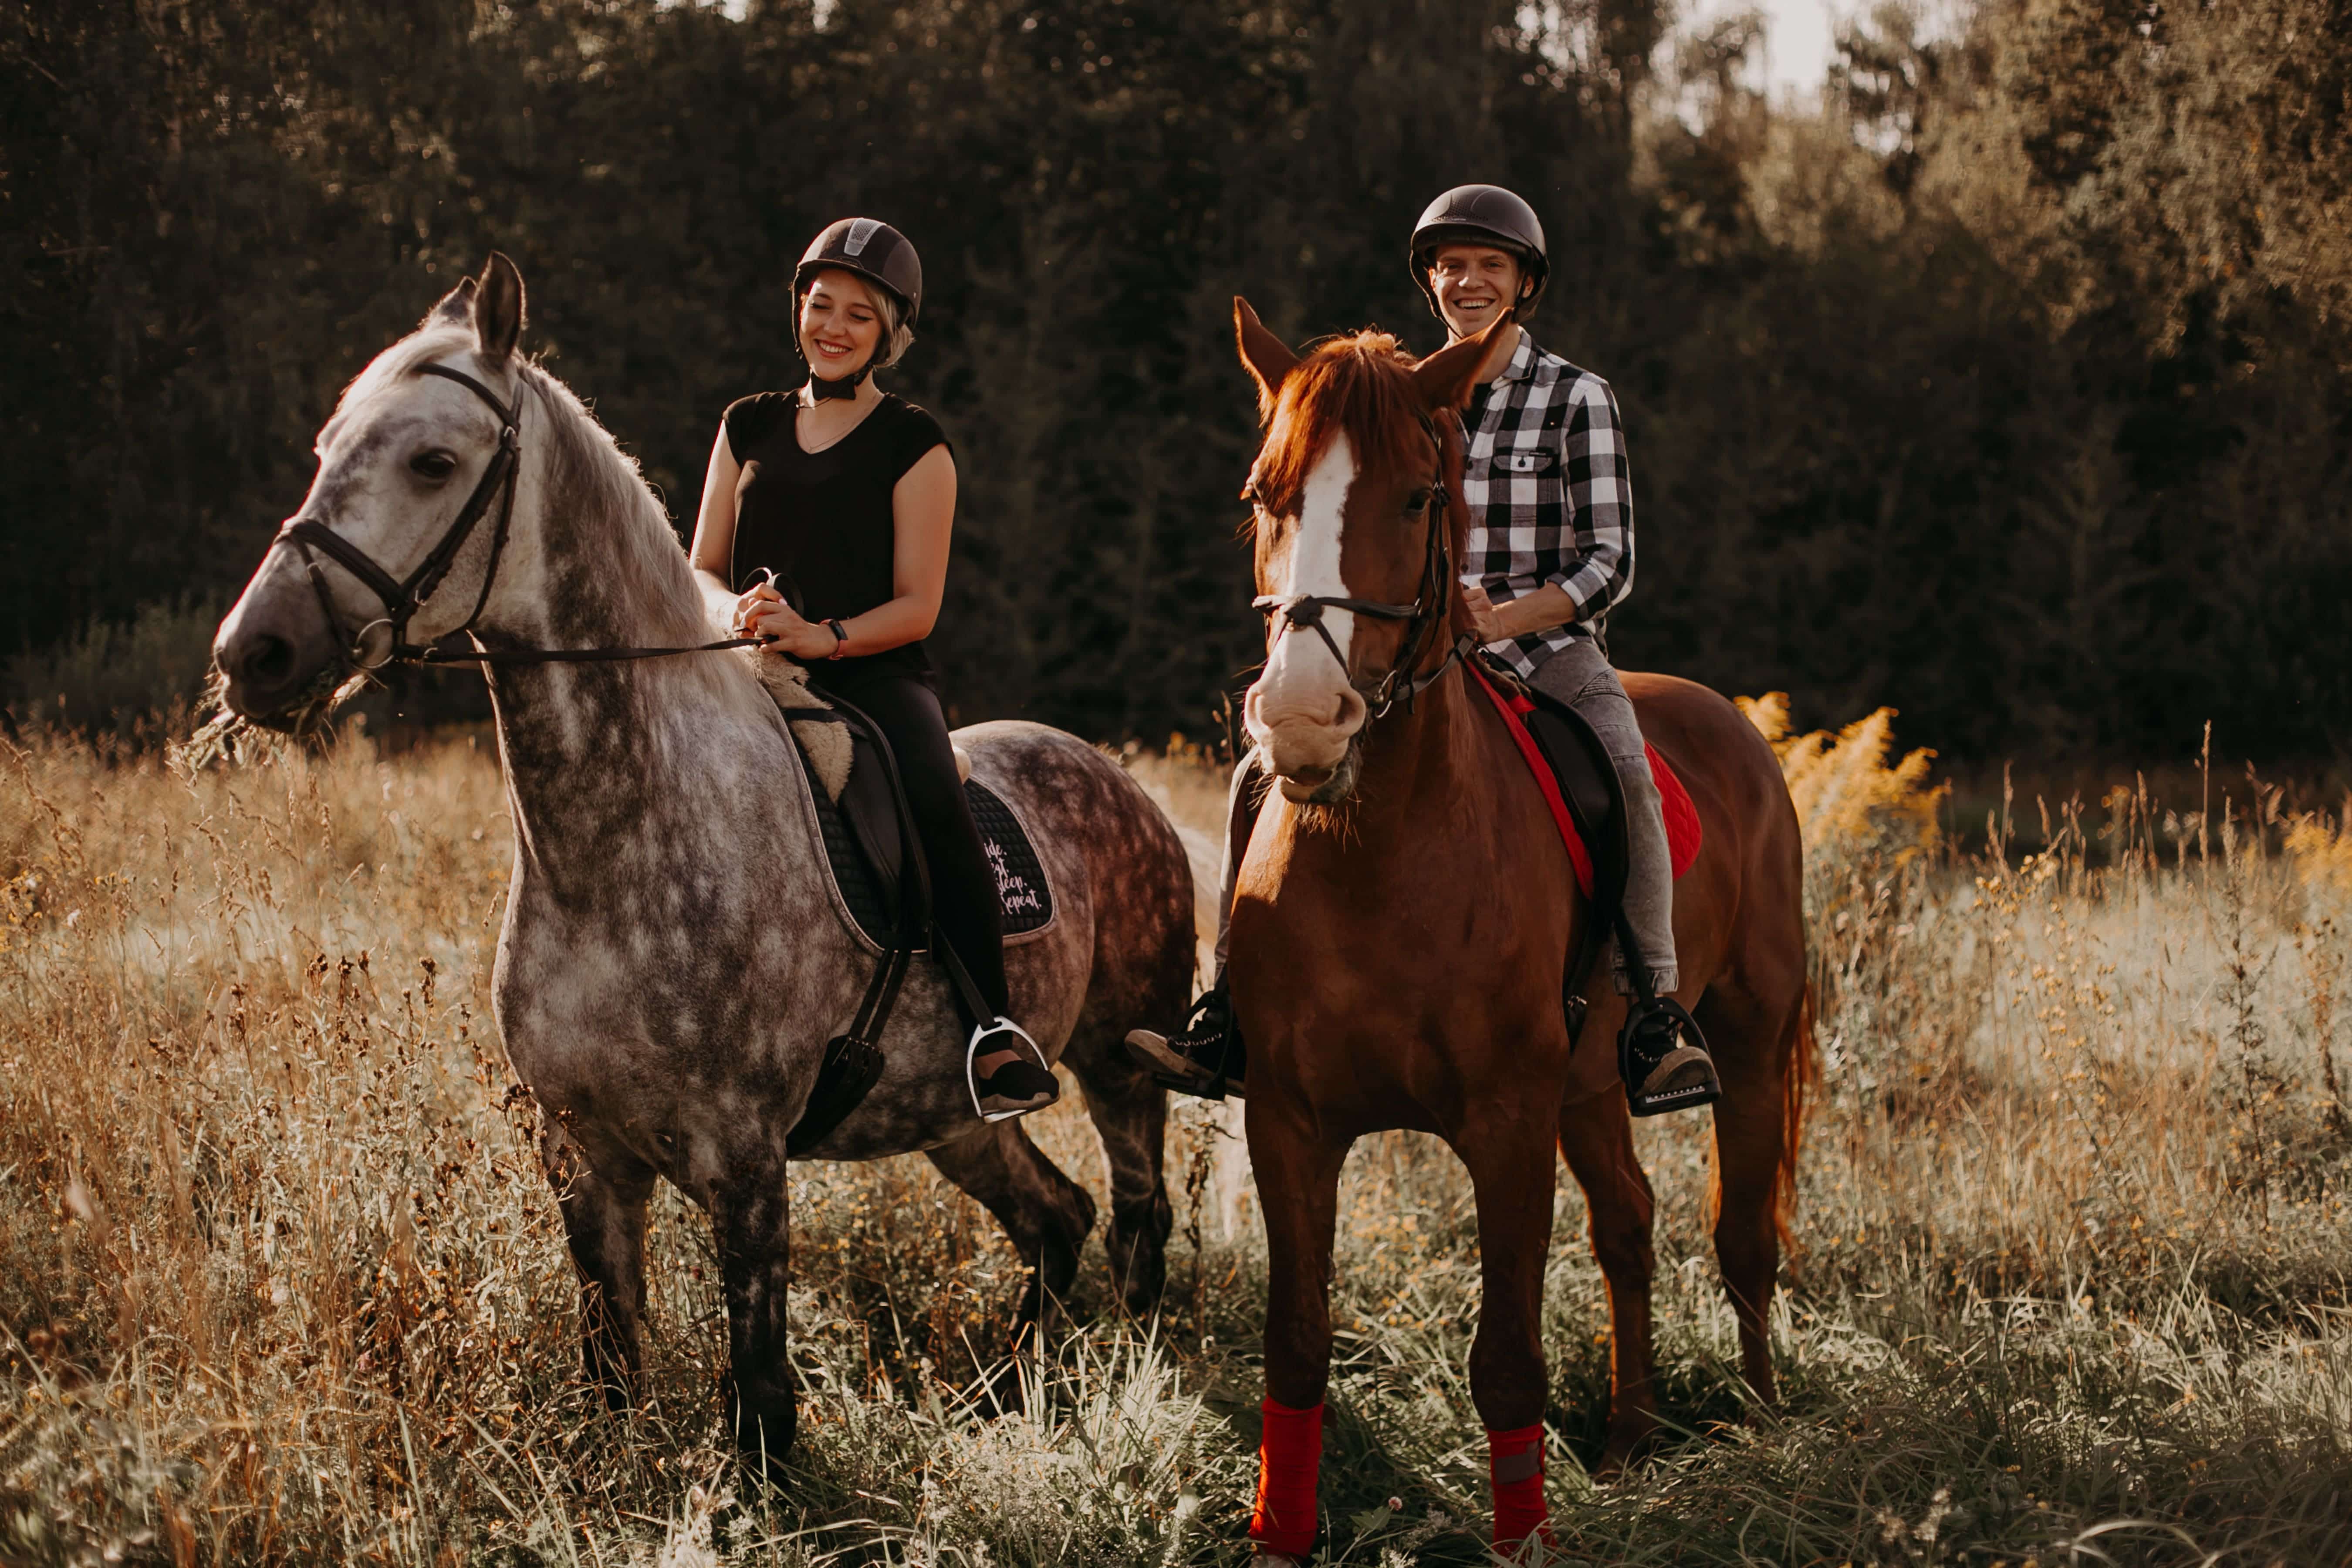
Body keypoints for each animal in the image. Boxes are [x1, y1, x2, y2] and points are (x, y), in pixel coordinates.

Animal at [212, 255, 1195, 1476]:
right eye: (326, 446)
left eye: (432, 461)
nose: (253, 654)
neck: (617, 849)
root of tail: (1123, 783)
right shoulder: (584, 1159)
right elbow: (612, 1368)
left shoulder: (746, 1164)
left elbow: (761, 1402)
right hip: (961, 1123)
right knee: (1058, 1220)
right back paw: (1007, 1399)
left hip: (1118, 1067)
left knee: (1139, 1220)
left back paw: (1125, 1388)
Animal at [1223, 301, 1806, 1561]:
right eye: (1264, 493)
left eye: (1416, 498)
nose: (1301, 718)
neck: (1378, 854)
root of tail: (1731, 722)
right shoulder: (1288, 1121)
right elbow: (1294, 1349)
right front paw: (1279, 1532)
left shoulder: (1502, 1124)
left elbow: (1505, 1363)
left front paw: (1523, 1533)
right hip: (1586, 1086)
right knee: (1630, 1226)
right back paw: (1633, 1437)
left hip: (1746, 1042)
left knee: (1743, 1239)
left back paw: (1763, 1425)